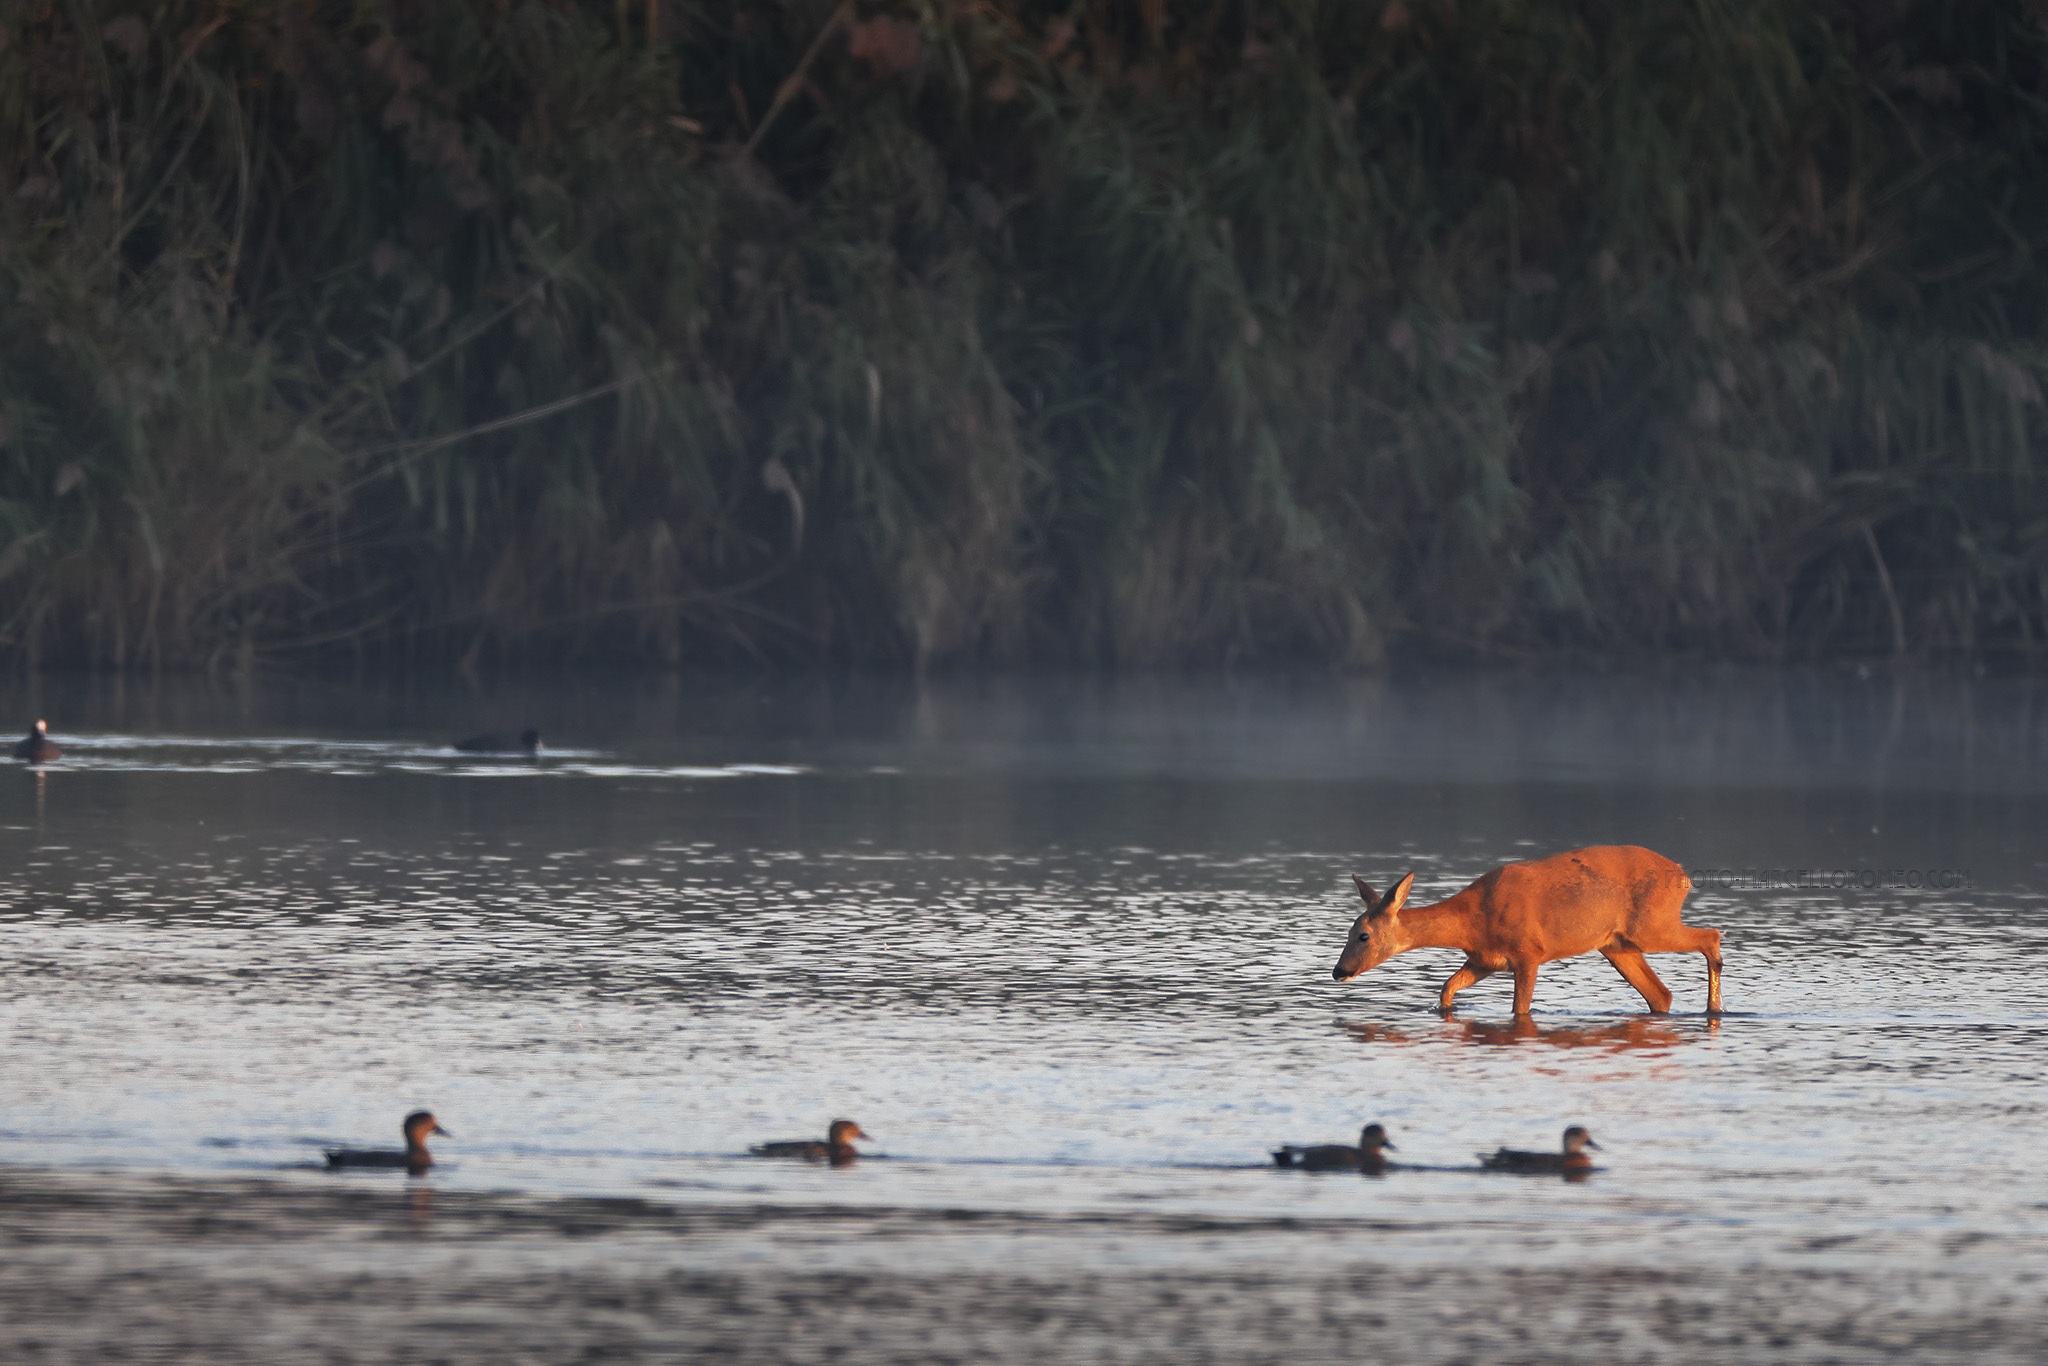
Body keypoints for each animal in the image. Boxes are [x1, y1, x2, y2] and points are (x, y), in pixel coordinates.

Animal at [1331, 845, 1722, 1016]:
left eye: (1363, 935)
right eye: (1347, 932)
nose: (1339, 971)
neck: (1472, 921)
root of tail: (1683, 877)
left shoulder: (1528, 952)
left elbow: (1520, 1009)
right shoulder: (1484, 960)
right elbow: (1446, 988)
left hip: (1651, 926)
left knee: (1712, 935)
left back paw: (1715, 1007)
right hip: (1617, 944)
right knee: (1660, 995)